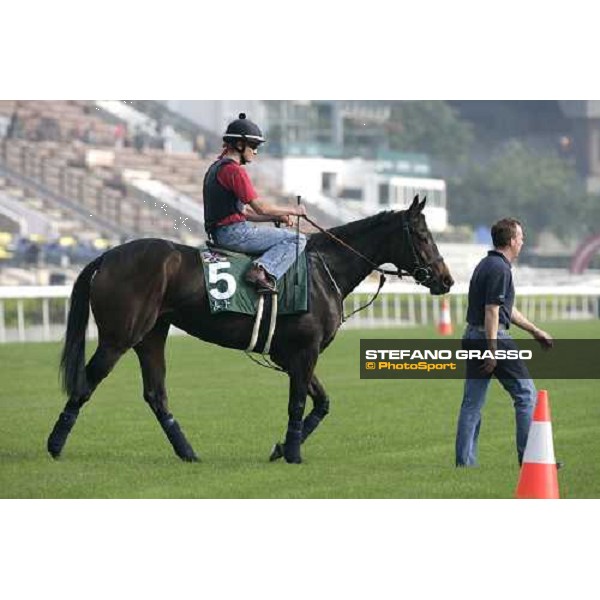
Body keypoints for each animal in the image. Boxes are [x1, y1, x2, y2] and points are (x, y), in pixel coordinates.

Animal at [47, 197, 452, 464]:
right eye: (421, 235)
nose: (446, 279)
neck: (323, 270)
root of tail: (107, 255)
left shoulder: (292, 355)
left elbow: (321, 403)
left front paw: (280, 449)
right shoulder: (304, 351)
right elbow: (298, 403)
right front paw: (293, 454)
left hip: (151, 336)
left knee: (155, 394)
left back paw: (188, 452)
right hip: (120, 337)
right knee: (86, 383)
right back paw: (54, 444)